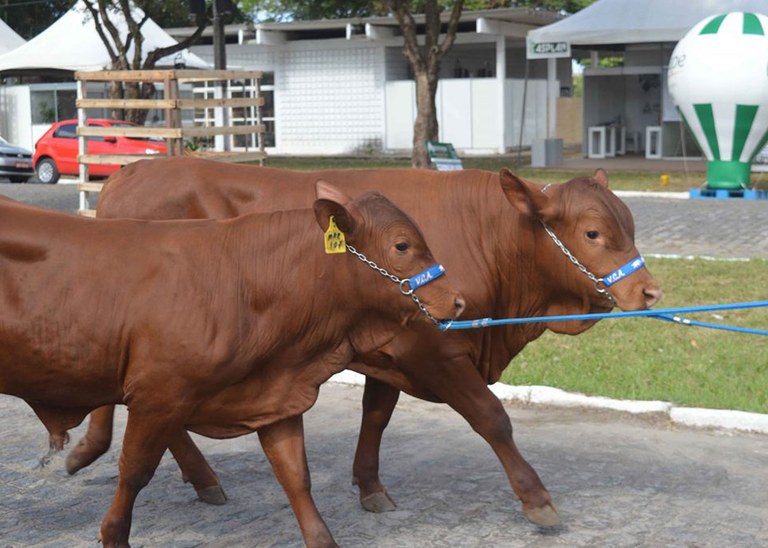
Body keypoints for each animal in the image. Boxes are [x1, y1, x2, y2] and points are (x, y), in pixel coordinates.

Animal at [1, 182, 462, 544]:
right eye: (402, 245)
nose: (457, 301)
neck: (244, 282)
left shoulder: (274, 393)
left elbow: (296, 475)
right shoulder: (159, 395)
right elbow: (133, 472)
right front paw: (113, 535)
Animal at [69, 157, 664, 528]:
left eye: (631, 225)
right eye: (592, 233)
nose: (650, 291)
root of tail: (134, 170)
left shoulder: (390, 349)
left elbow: (376, 415)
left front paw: (370, 486)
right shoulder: (434, 346)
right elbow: (492, 417)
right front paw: (537, 499)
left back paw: (194, 477)